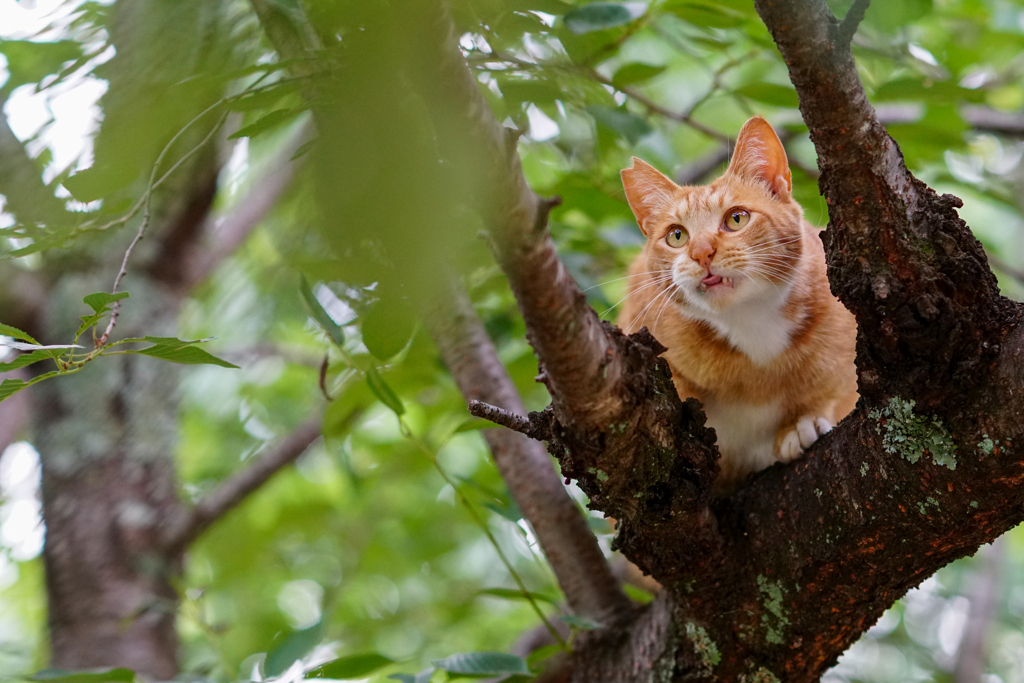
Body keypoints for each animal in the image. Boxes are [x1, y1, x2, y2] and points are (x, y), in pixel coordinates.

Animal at [618, 118, 860, 491]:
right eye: (677, 236)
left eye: (736, 219)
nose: (702, 253)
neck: (751, 326)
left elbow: (829, 387)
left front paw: (802, 421)